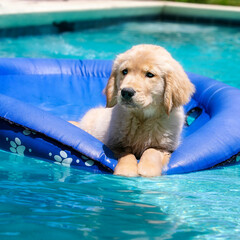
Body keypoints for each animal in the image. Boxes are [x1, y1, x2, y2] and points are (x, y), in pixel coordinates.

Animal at [70, 44, 195, 177]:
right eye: (124, 71)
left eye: (150, 74)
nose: (126, 92)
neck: (143, 117)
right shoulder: (116, 144)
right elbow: (127, 154)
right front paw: (126, 170)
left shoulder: (164, 147)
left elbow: (151, 151)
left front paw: (148, 169)